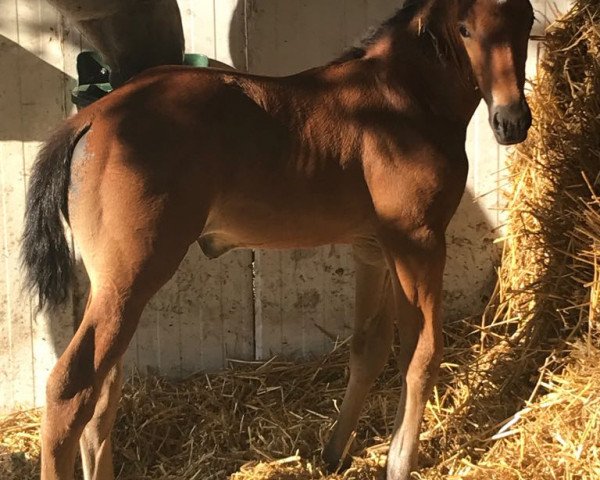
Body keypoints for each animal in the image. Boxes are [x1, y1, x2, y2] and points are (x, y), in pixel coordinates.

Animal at [22, 0, 536, 480]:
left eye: (528, 20)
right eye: (465, 28)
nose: (511, 121)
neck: (401, 101)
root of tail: (92, 116)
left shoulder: (372, 250)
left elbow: (368, 348)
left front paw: (333, 453)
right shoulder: (419, 242)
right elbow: (422, 353)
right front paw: (398, 461)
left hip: (108, 285)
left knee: (103, 393)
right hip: (130, 279)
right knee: (71, 390)